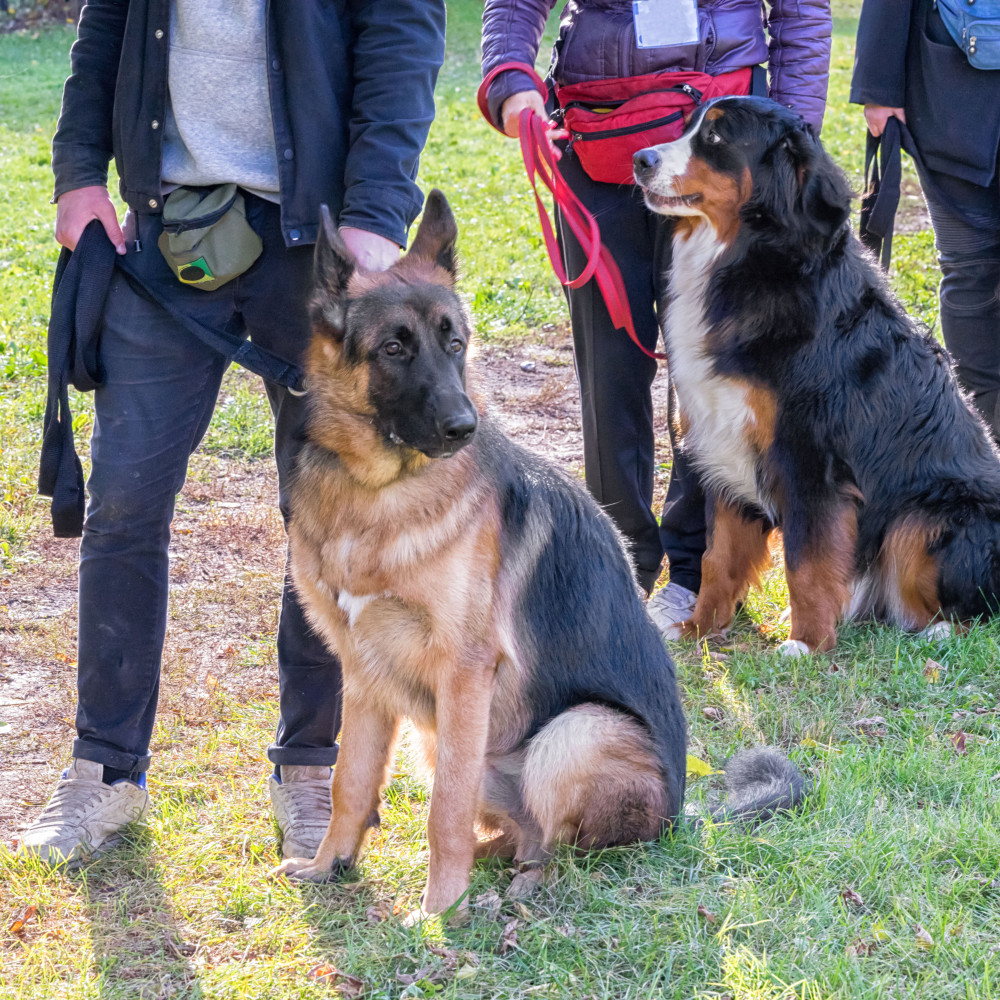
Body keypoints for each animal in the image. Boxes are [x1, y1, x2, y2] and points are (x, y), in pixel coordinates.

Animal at [274, 191, 804, 916]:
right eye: (393, 348)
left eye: (456, 344)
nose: (463, 427)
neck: (378, 492)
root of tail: (681, 813)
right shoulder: (364, 673)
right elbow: (349, 782)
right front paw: (332, 864)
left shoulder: (465, 673)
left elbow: (444, 810)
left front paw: (438, 911)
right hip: (444, 739)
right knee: (514, 829)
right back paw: (493, 864)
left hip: (572, 732)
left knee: (557, 845)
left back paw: (516, 888)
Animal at [636, 94, 1000, 656]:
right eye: (687, 125)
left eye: (715, 138)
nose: (640, 159)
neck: (748, 256)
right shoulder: (726, 442)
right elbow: (720, 557)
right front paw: (699, 629)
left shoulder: (810, 457)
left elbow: (807, 560)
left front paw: (806, 643)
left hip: (927, 516)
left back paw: (938, 632)